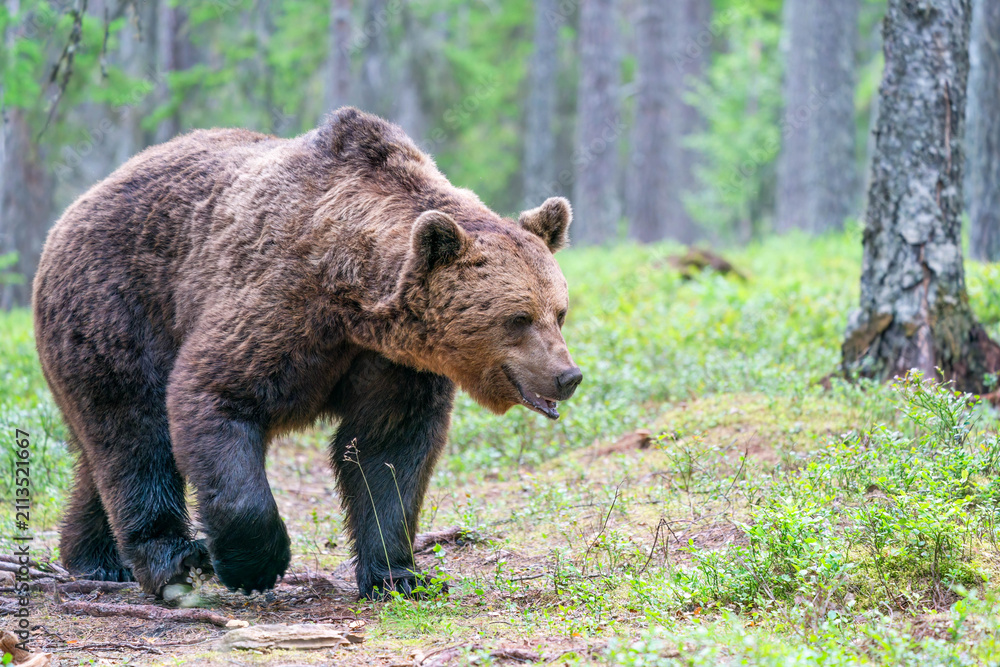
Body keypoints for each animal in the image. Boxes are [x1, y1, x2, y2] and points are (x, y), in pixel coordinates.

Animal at [32, 107, 582, 600]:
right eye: (517, 318)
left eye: (559, 311)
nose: (567, 376)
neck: (355, 297)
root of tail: (71, 212)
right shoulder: (281, 306)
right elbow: (214, 394)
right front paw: (255, 564)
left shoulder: (393, 364)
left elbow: (389, 450)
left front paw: (400, 576)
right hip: (119, 309)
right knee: (134, 433)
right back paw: (172, 560)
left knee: (101, 452)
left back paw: (97, 558)